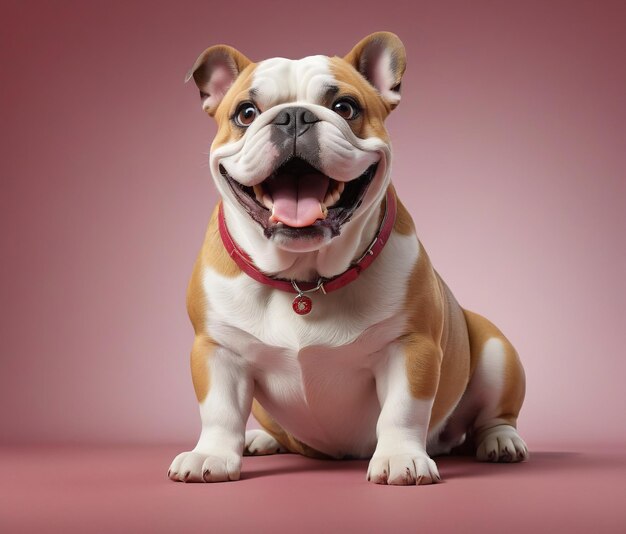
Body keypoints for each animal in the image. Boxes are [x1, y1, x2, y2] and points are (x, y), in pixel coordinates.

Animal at [167, 31, 528, 488]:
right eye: (246, 113)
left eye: (345, 107)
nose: (294, 117)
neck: (303, 278)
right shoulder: (216, 349)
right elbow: (220, 411)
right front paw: (210, 454)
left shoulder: (411, 348)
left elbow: (402, 411)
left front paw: (400, 458)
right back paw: (261, 439)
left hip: (496, 350)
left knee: (494, 415)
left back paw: (501, 441)